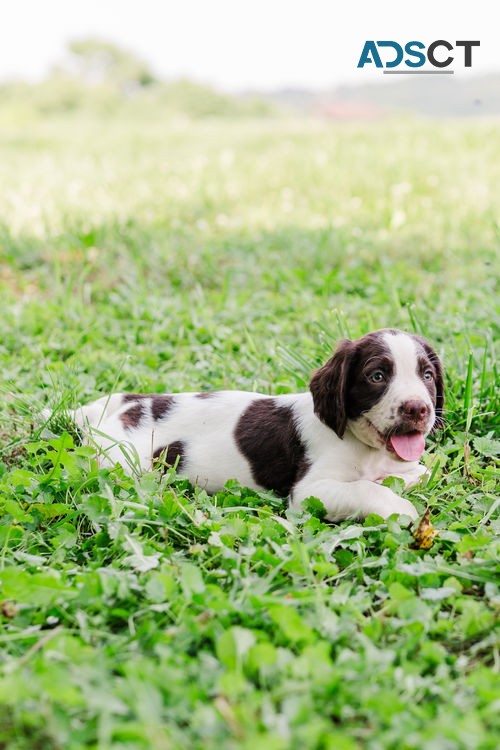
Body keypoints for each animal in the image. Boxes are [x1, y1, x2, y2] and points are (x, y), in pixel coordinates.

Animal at [69, 328, 442, 524]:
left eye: (427, 375)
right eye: (376, 376)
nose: (418, 409)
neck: (363, 446)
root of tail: (124, 406)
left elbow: (416, 473)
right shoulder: (309, 492)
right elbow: (366, 489)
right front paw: (403, 509)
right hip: (122, 464)